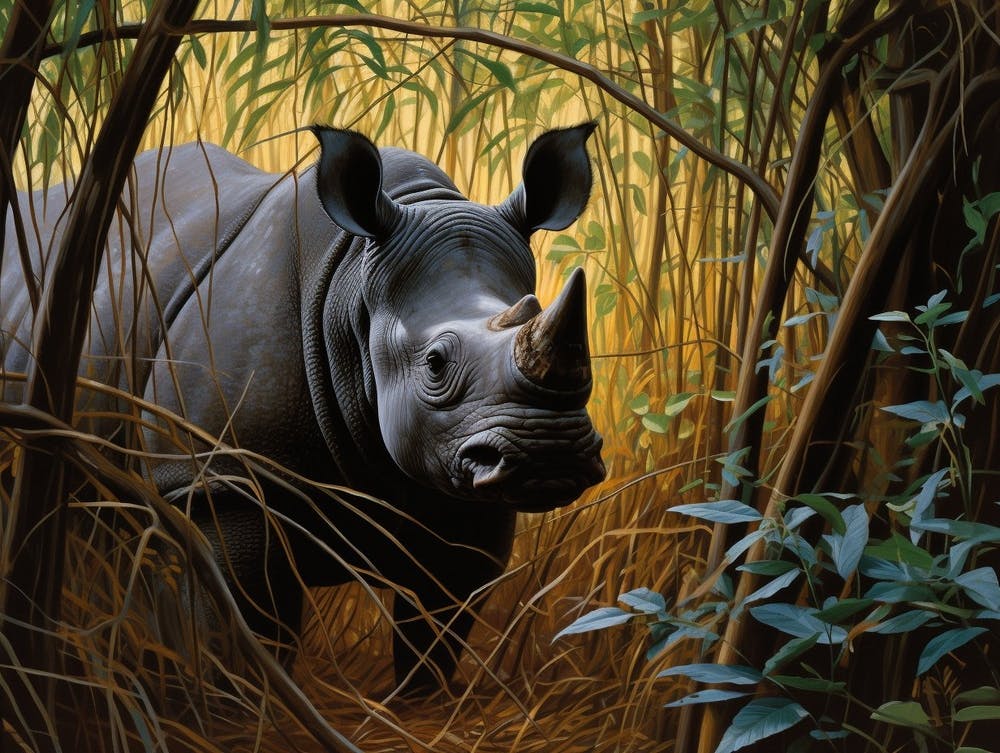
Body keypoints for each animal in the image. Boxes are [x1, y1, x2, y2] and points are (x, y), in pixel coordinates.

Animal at [0, 123, 605, 689]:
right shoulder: (220, 478)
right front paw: (240, 707)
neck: (352, 293)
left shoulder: (461, 478)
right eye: (435, 363)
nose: (548, 454)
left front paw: (420, 700)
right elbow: (243, 624)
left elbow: (437, 626)